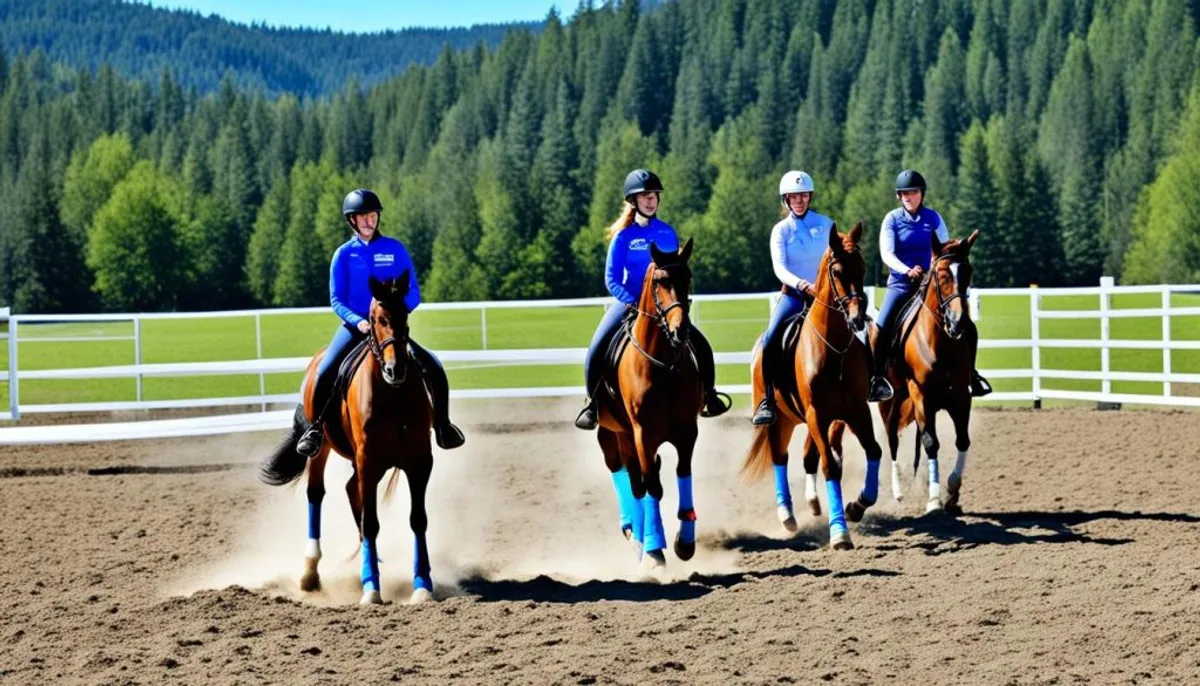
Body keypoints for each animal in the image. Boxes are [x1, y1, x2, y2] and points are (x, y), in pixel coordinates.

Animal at [258, 273, 436, 604]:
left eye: (405, 316)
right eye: (377, 319)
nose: (395, 369)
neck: (393, 396)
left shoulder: (419, 462)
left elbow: (417, 519)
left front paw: (422, 586)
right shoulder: (368, 460)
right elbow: (371, 522)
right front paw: (371, 589)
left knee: (352, 490)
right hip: (322, 449)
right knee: (317, 493)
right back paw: (311, 572)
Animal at [592, 238, 700, 570]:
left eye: (687, 278)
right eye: (659, 281)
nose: (680, 331)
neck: (662, 365)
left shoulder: (687, 431)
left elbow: (682, 473)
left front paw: (684, 540)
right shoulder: (643, 434)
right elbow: (652, 486)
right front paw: (654, 550)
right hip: (613, 437)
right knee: (631, 481)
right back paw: (637, 537)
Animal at [739, 221, 883, 549]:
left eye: (863, 267)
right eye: (839, 271)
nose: (858, 318)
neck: (833, 349)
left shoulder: (855, 412)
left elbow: (874, 451)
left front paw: (857, 506)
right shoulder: (818, 414)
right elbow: (830, 466)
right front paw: (839, 533)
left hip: (805, 420)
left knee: (807, 456)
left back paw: (813, 504)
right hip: (780, 421)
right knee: (780, 458)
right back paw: (787, 515)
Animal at [878, 230, 979, 513]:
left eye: (968, 272)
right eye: (942, 274)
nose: (959, 322)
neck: (939, 342)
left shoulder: (961, 395)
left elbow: (962, 440)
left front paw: (952, 491)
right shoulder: (921, 395)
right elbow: (931, 442)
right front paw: (934, 500)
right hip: (891, 402)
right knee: (892, 438)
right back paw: (898, 490)